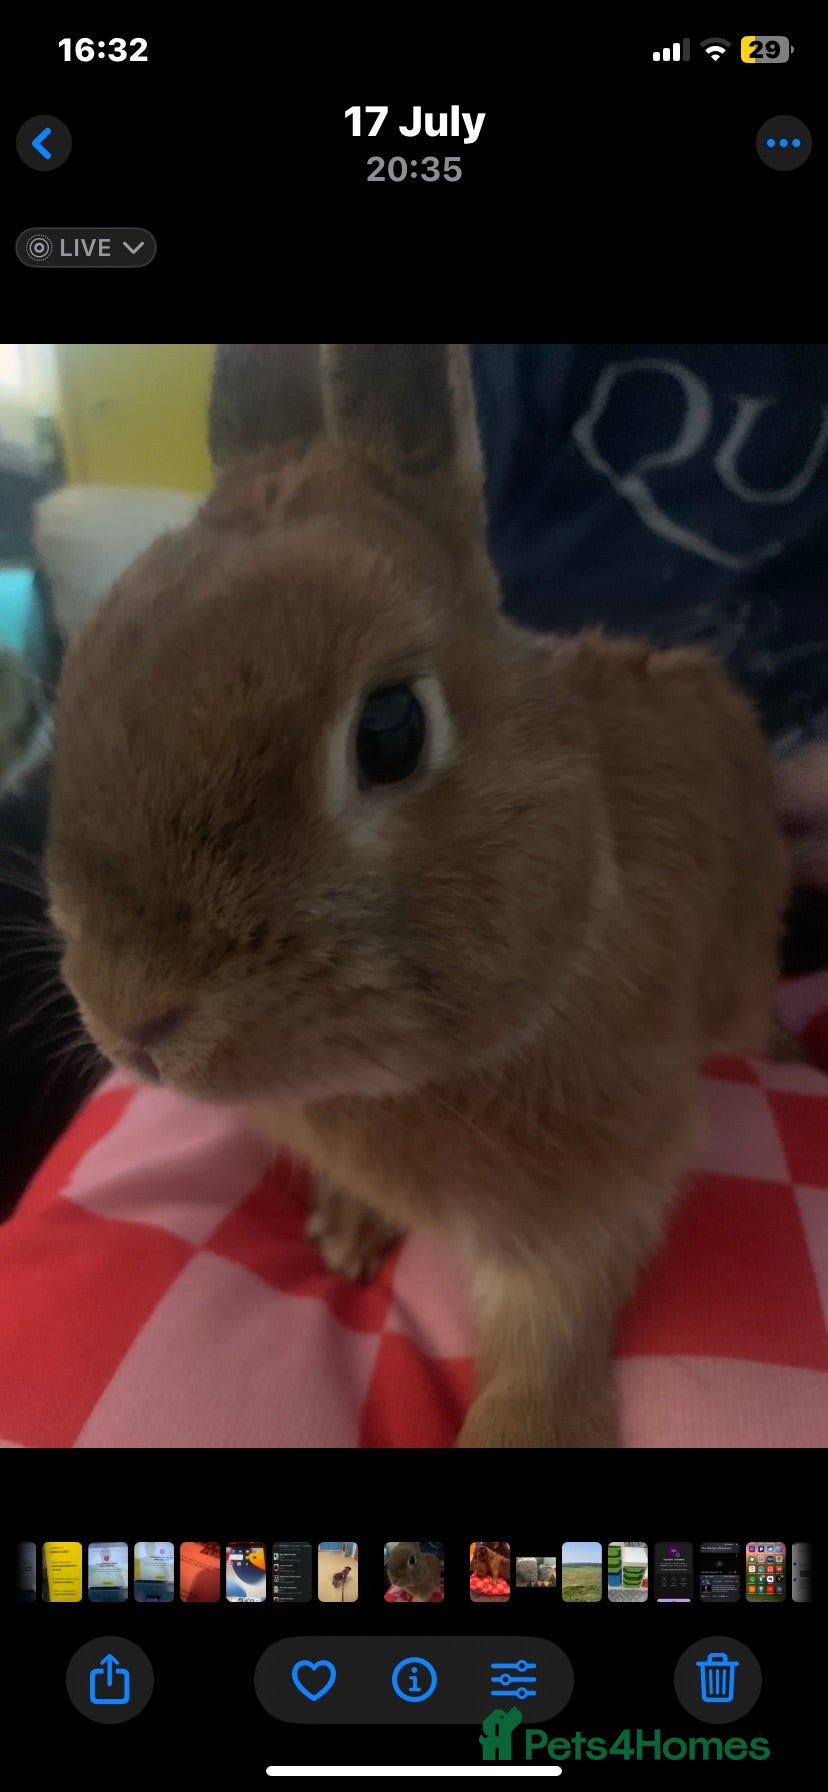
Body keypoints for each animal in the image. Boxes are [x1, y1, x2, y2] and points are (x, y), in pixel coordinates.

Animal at [46, 343, 791, 1448]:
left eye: (391, 731)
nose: (128, 1017)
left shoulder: (592, 1192)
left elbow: (550, 1331)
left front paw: (532, 1433)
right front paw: (346, 1227)